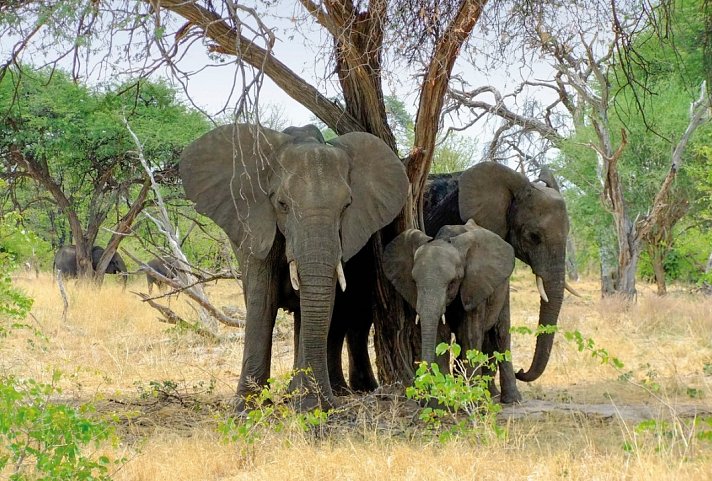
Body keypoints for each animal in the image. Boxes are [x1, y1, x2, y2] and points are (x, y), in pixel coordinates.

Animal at [181, 122, 408, 406]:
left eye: (346, 206)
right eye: (282, 204)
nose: (325, 403)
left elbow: (323, 301)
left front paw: (310, 406)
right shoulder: (257, 228)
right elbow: (262, 302)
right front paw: (247, 407)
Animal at [386, 219, 520, 404]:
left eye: (452, 282)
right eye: (414, 281)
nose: (423, 400)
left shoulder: (474, 285)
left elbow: (470, 334)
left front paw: (474, 400)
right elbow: (440, 334)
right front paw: (439, 402)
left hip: (503, 288)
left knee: (500, 333)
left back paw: (511, 400)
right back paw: (489, 393)